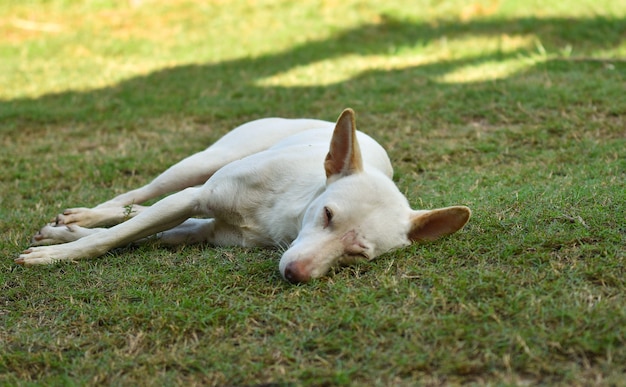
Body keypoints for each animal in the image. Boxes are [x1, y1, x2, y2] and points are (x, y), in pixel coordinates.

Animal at [15, 110, 468, 284]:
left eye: (357, 255)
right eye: (326, 214)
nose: (296, 275)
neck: (283, 217)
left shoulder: (200, 231)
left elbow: (142, 233)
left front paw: (60, 240)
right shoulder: (193, 199)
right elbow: (115, 237)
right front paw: (56, 255)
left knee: (137, 209)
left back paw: (71, 224)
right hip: (201, 163)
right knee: (137, 194)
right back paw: (85, 214)